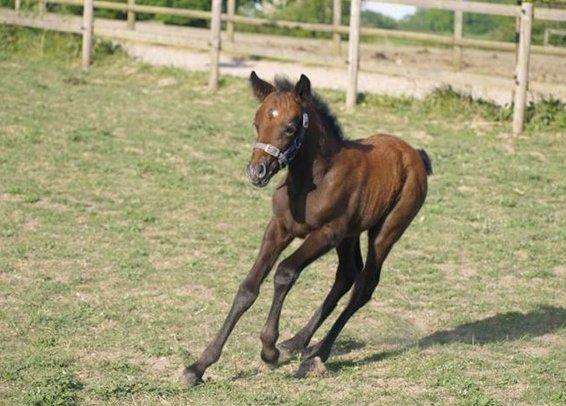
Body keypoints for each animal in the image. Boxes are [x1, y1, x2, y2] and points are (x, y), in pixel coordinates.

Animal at [184, 71, 432, 386]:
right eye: (257, 122)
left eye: (290, 127)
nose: (257, 172)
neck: (312, 180)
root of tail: (416, 155)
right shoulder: (279, 228)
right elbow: (248, 288)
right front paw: (199, 365)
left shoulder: (326, 233)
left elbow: (285, 272)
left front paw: (269, 350)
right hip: (350, 234)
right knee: (347, 274)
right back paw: (298, 342)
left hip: (385, 232)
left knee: (364, 284)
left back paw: (317, 354)